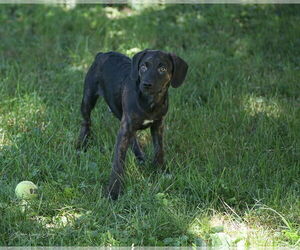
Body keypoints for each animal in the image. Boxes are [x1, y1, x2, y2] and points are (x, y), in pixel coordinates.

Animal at [77, 49, 188, 200]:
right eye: (143, 67)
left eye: (162, 69)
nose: (146, 84)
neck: (150, 102)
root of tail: (102, 54)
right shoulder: (125, 128)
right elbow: (118, 163)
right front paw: (113, 192)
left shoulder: (158, 125)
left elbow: (159, 150)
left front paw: (160, 171)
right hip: (88, 97)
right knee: (86, 122)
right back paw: (81, 145)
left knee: (133, 139)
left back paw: (140, 157)